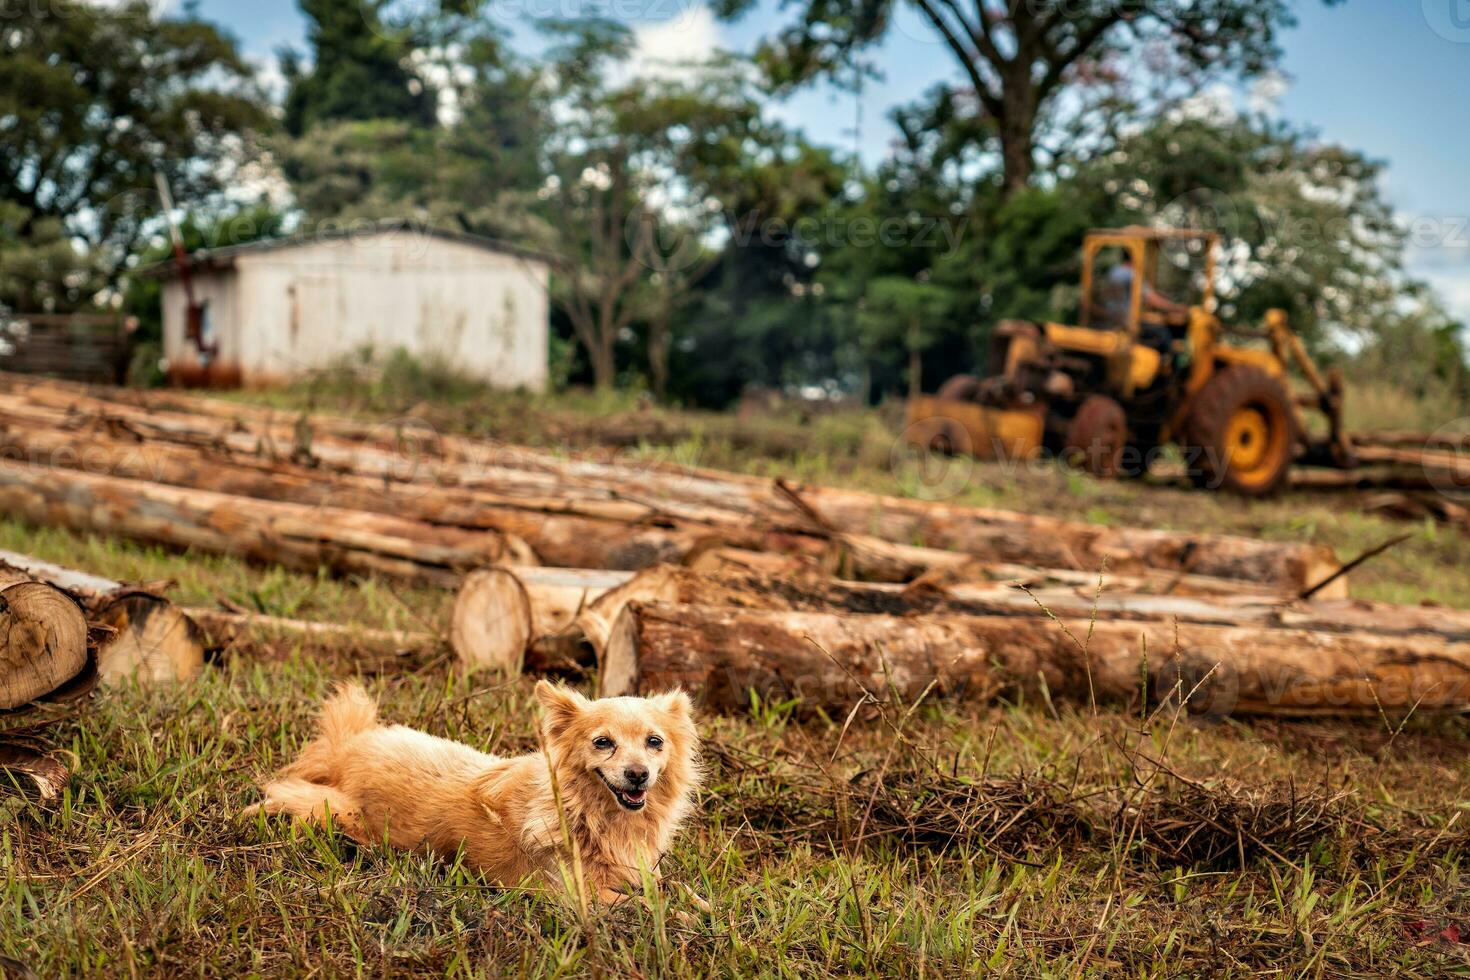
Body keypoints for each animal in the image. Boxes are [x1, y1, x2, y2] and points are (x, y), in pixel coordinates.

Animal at [244, 681, 702, 905]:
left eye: (655, 742)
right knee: (287, 791)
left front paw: (702, 909)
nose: (638, 775)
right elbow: (651, 908)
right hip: (337, 811)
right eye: (603, 742)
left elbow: (677, 891)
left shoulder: (643, 872)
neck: (593, 816)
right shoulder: (575, 895)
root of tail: (350, 747)